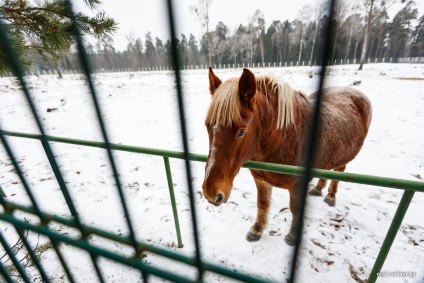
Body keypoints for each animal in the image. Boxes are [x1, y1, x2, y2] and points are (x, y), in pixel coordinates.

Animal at [202, 67, 372, 246]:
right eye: (207, 126)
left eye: (241, 131)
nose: (211, 193)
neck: (284, 138)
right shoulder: (261, 179)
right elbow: (262, 203)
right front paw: (257, 229)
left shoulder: (297, 186)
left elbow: (295, 209)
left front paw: (293, 236)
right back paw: (318, 189)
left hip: (343, 158)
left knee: (339, 171)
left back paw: (331, 196)